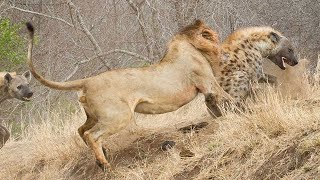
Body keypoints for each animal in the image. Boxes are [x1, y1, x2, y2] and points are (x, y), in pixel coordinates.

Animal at [25, 20, 230, 171]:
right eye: (212, 34)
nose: (223, 46)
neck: (190, 44)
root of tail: (88, 81)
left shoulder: (208, 89)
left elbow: (216, 105)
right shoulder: (209, 84)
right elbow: (226, 97)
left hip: (96, 116)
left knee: (81, 130)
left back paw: (102, 154)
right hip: (119, 115)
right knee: (92, 134)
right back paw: (104, 164)